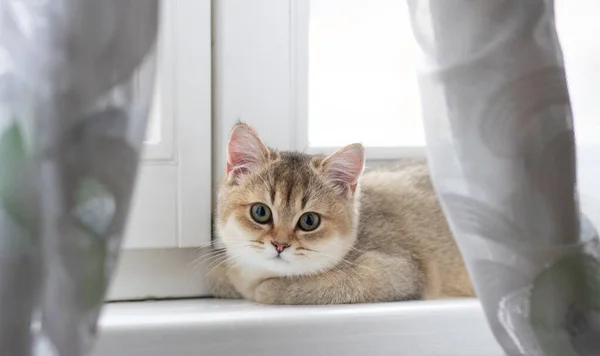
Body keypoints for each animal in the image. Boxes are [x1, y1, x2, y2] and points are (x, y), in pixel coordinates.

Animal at [209, 121, 476, 304]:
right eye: (260, 212)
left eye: (309, 221)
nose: (280, 245)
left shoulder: (398, 271)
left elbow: (271, 289)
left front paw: (266, 288)